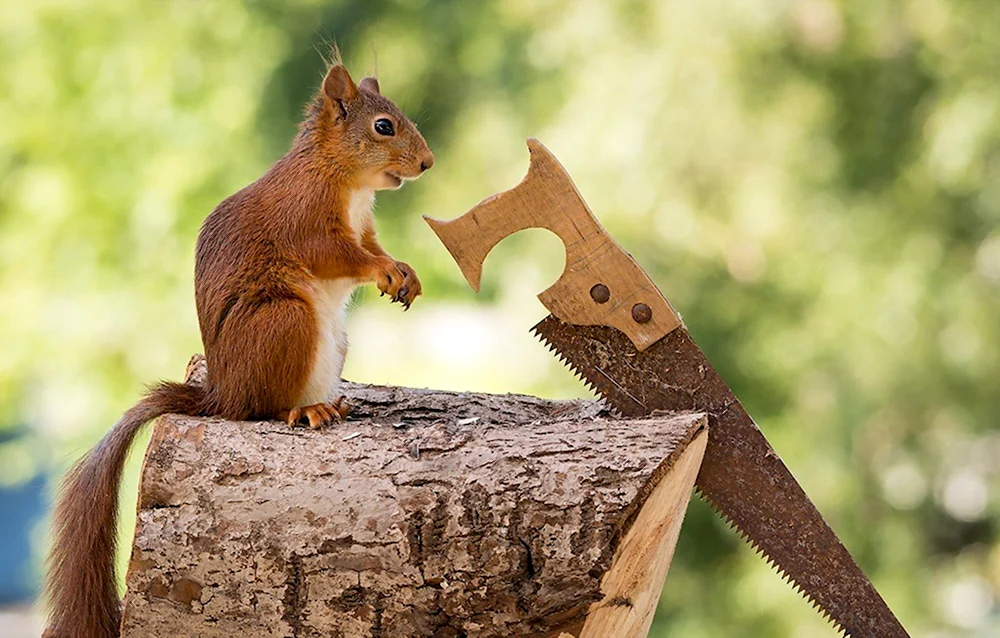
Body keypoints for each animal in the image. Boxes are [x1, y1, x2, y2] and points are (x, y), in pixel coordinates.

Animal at [43, 61, 434, 638]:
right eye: (384, 127)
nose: (427, 162)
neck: (342, 177)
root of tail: (218, 396)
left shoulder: (364, 225)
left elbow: (373, 246)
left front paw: (404, 271)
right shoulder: (306, 216)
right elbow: (339, 254)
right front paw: (384, 270)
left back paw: (333, 404)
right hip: (285, 320)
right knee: (258, 409)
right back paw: (304, 410)